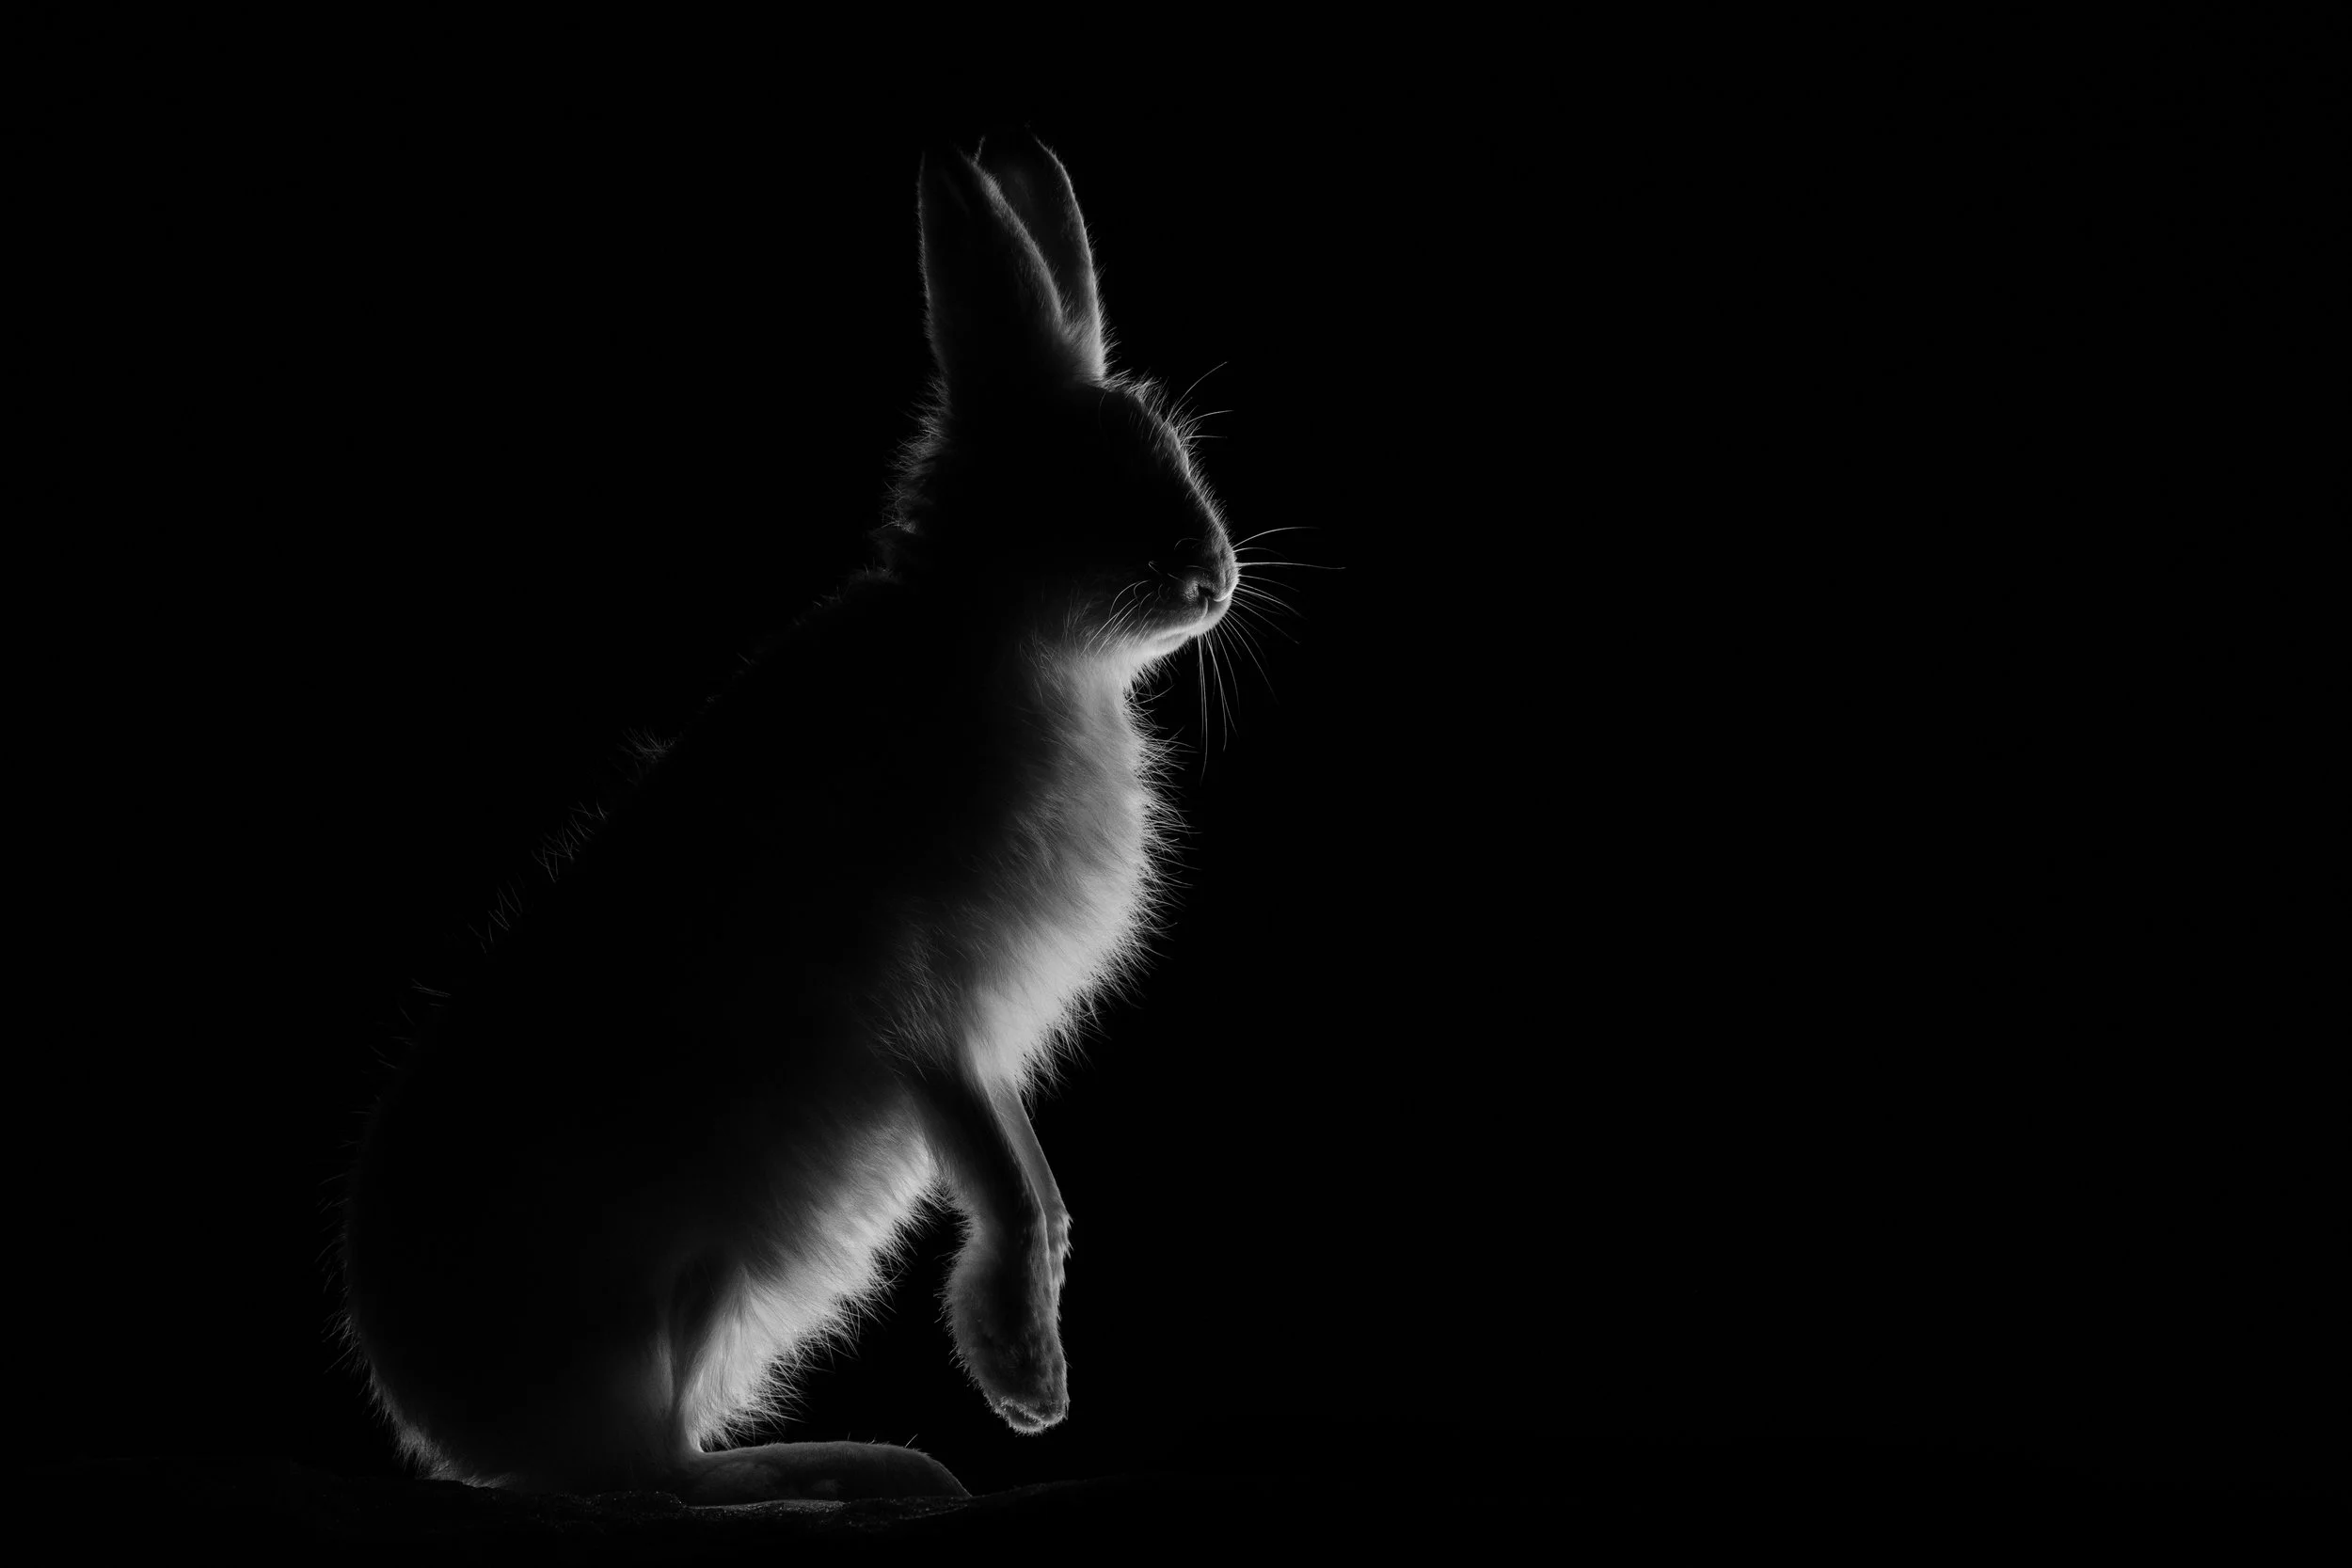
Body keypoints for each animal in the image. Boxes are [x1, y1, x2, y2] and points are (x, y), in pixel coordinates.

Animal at [337, 133, 1242, 1504]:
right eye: (1088, 475)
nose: (1217, 577)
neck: (1000, 634)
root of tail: (488, 1438)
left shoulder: (981, 1034)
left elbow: (1035, 1180)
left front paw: (1024, 1375)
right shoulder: (924, 1006)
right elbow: (1007, 1184)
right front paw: (1023, 1376)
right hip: (693, 1261)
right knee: (661, 1473)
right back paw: (846, 1468)